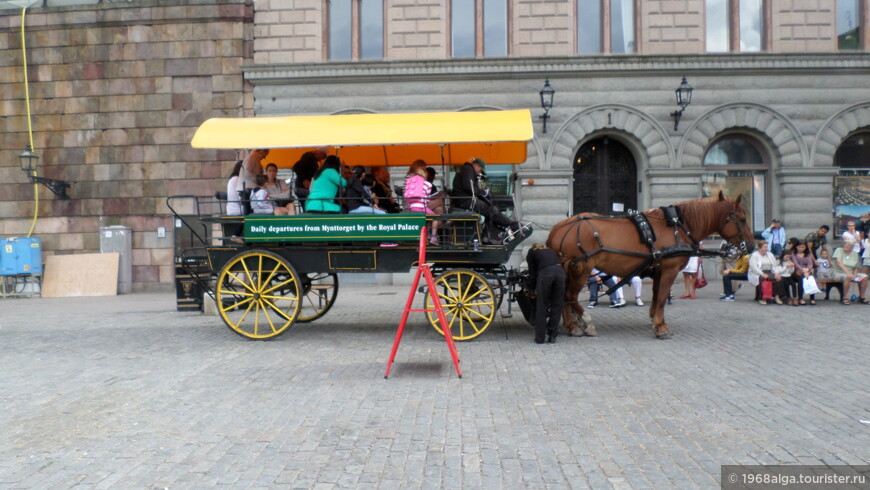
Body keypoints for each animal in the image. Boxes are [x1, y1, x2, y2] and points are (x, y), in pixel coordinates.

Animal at [552, 192, 756, 340]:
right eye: (742, 219)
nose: (752, 245)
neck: (678, 227)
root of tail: (559, 228)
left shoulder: (658, 270)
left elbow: (658, 295)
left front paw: (655, 320)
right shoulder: (669, 270)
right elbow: (663, 297)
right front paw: (661, 327)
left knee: (563, 296)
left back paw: (571, 325)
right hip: (581, 269)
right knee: (570, 296)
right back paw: (585, 322)